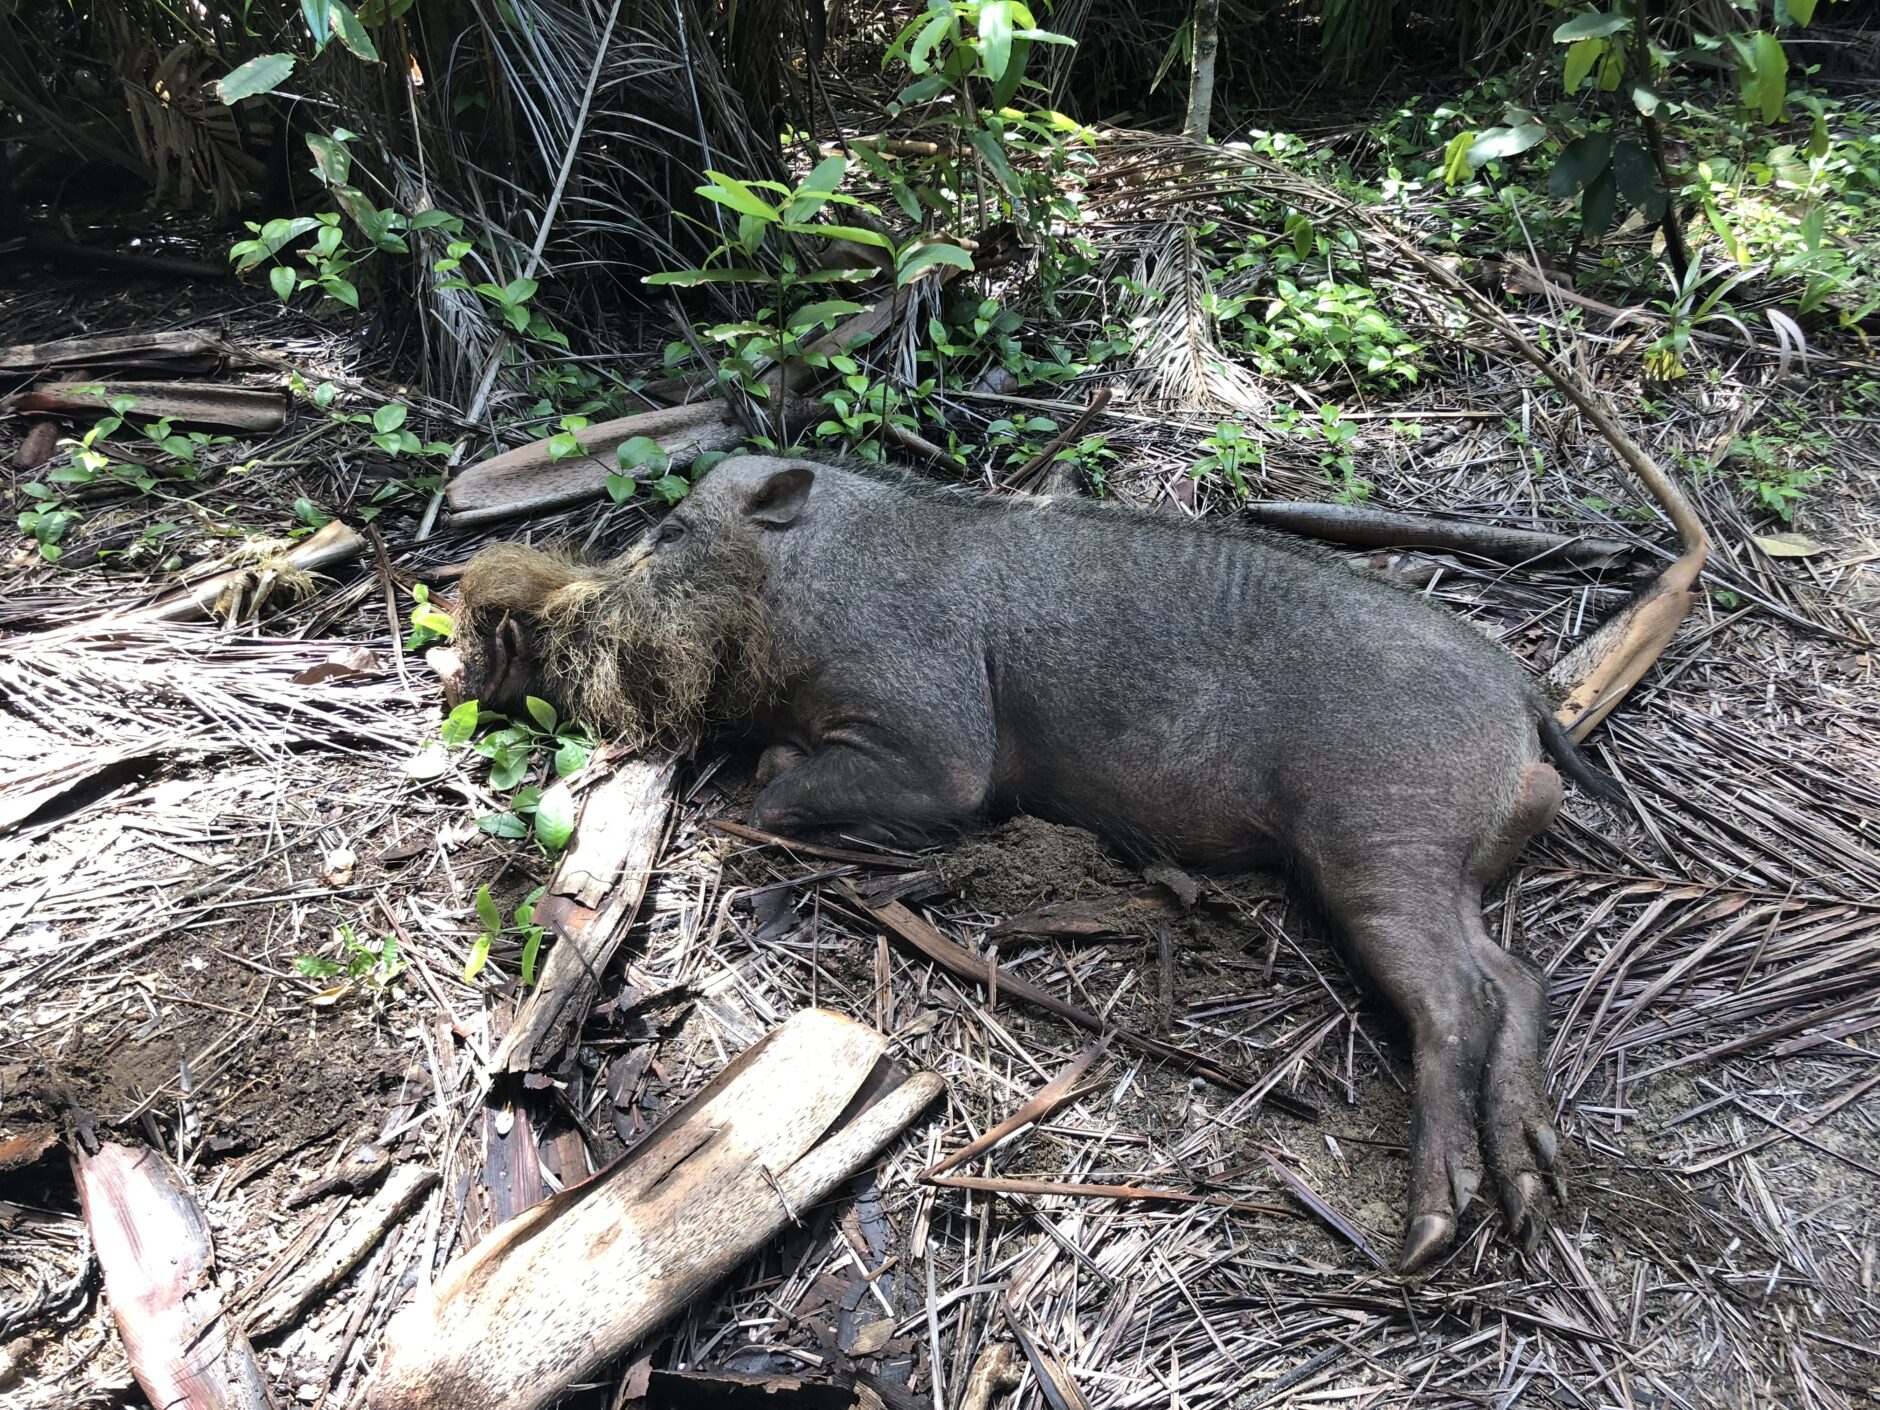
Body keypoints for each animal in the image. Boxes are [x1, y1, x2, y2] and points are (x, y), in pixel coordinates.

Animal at [443, 453, 1622, 1271]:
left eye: (669, 530)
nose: (496, 639)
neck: (803, 587)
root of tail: (1526, 703)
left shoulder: (932, 736)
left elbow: (793, 787)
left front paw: (773, 780)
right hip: (1430, 862)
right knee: (1514, 976)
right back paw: (1534, 1194)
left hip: (1379, 833)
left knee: (1458, 998)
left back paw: (1427, 1236)